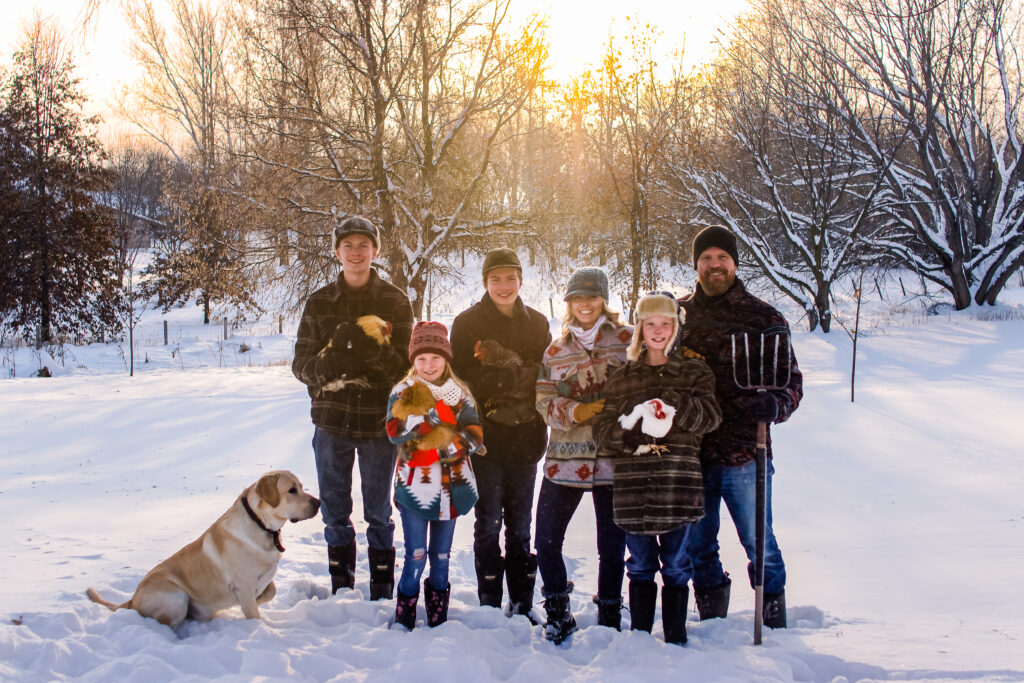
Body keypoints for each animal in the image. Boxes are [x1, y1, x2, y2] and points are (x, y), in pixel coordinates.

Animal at [88, 471, 319, 630]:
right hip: (176, 597)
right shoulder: (243, 585)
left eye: (301, 486)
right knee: (165, 623)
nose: (318, 503)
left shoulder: (260, 581)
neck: (260, 524)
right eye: (292, 490)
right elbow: (253, 611)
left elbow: (270, 591)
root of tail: (133, 599)